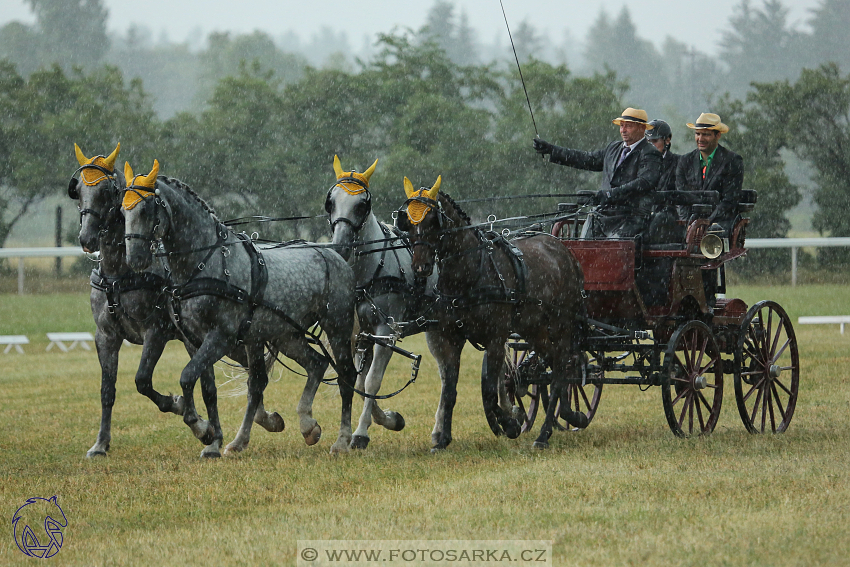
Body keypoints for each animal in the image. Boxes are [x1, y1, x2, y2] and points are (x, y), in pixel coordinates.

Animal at [69, 144, 282, 460]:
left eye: (108, 191)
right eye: (79, 190)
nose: (87, 238)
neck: (120, 274)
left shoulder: (155, 331)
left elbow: (143, 380)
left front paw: (187, 413)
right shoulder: (106, 335)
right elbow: (108, 390)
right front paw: (100, 444)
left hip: (229, 339)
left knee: (253, 375)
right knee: (244, 376)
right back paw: (257, 420)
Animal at [121, 162, 356, 454]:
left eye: (145, 209)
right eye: (122, 210)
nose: (135, 258)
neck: (202, 265)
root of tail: (334, 254)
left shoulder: (221, 336)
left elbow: (187, 377)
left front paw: (201, 429)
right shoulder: (194, 339)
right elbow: (206, 387)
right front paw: (212, 437)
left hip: (337, 327)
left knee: (346, 376)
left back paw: (343, 440)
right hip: (285, 334)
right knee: (314, 364)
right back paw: (300, 427)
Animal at [324, 155, 438, 448]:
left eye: (362, 205)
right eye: (331, 201)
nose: (340, 246)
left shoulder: (386, 332)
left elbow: (373, 381)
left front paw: (361, 433)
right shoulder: (360, 334)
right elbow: (360, 383)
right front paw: (390, 419)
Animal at [396, 178, 584, 452]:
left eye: (432, 220)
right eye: (408, 222)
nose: (421, 267)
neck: (470, 273)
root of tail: (565, 252)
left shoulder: (496, 338)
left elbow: (488, 390)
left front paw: (510, 423)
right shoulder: (451, 338)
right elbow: (450, 390)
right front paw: (443, 439)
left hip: (561, 324)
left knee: (561, 368)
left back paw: (544, 434)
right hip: (534, 328)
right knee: (556, 364)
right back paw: (570, 414)